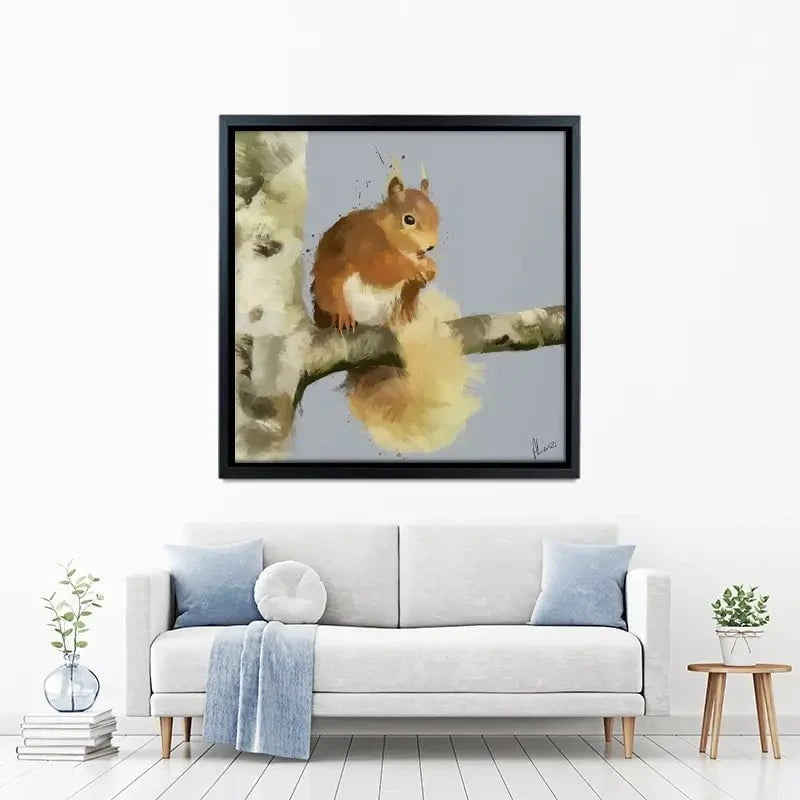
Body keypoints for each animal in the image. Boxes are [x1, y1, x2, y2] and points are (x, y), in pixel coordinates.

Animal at [311, 168, 481, 452]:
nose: (430, 247)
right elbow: (381, 267)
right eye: (408, 219)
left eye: (437, 214)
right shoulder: (365, 245)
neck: (389, 234)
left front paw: (429, 269)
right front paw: (415, 266)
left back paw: (403, 314)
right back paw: (343, 316)